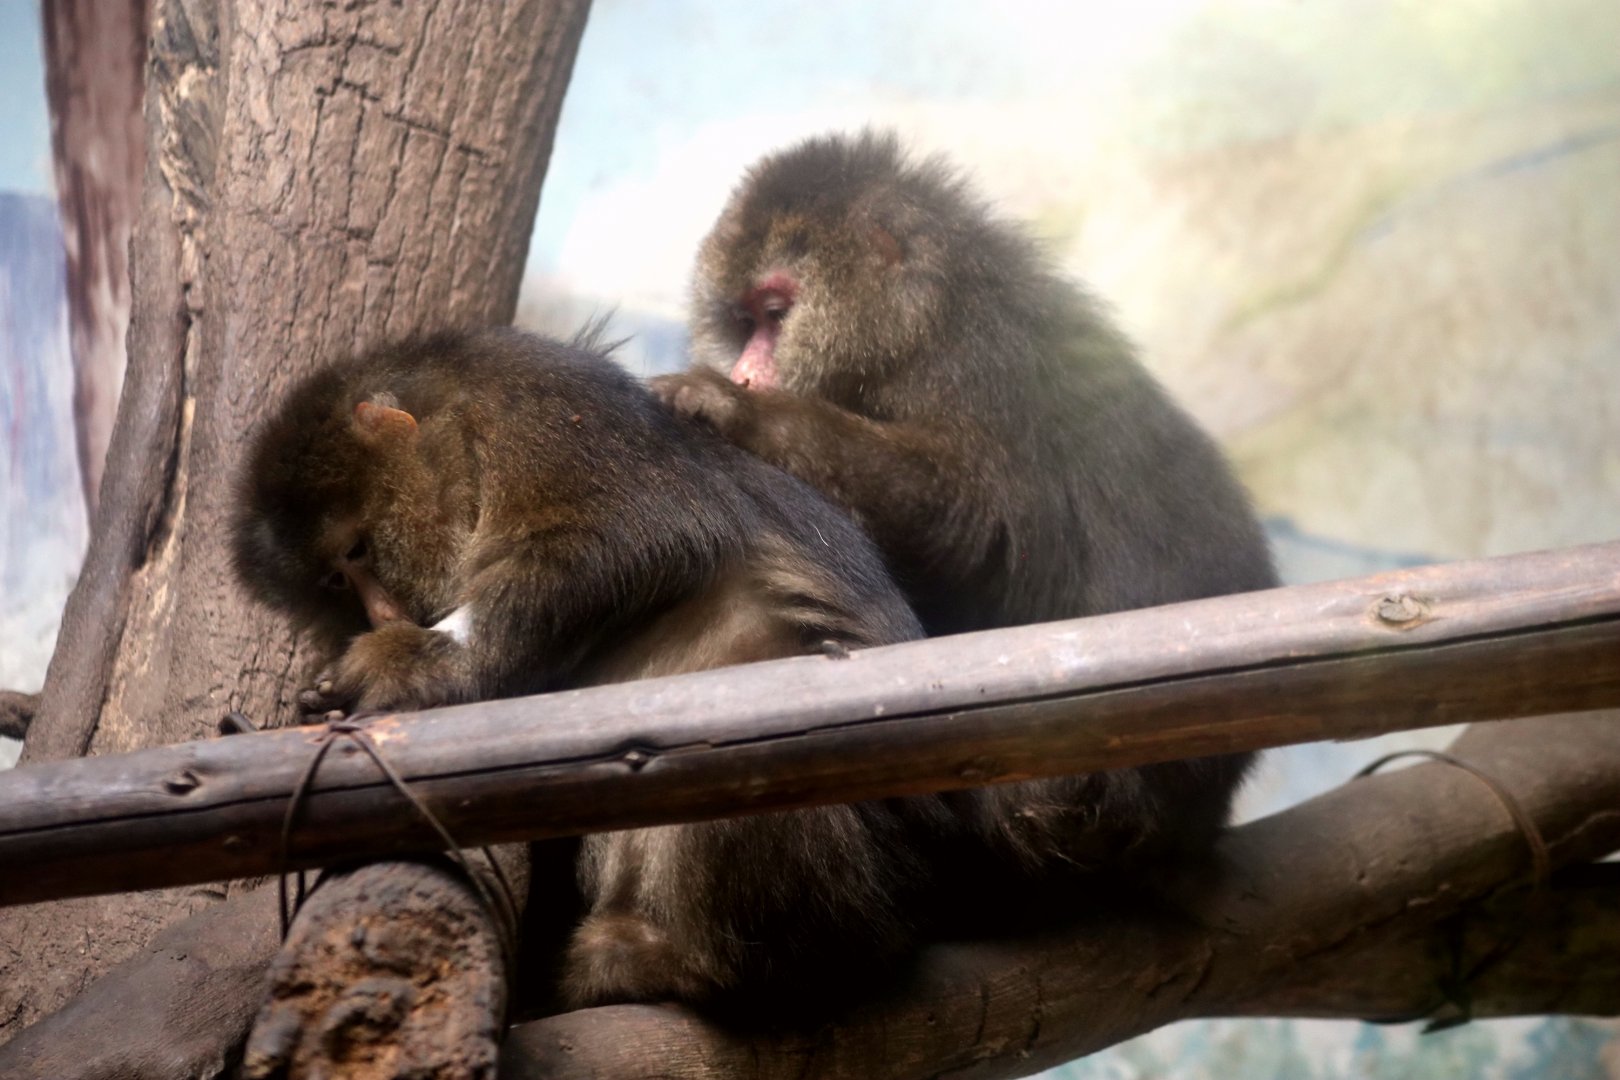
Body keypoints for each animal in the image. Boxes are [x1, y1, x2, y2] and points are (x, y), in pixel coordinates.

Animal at [653, 131, 1278, 887]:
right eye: (744, 323)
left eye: (775, 315)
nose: (746, 371)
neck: (917, 327)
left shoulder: (973, 366)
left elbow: (977, 522)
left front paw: (741, 413)